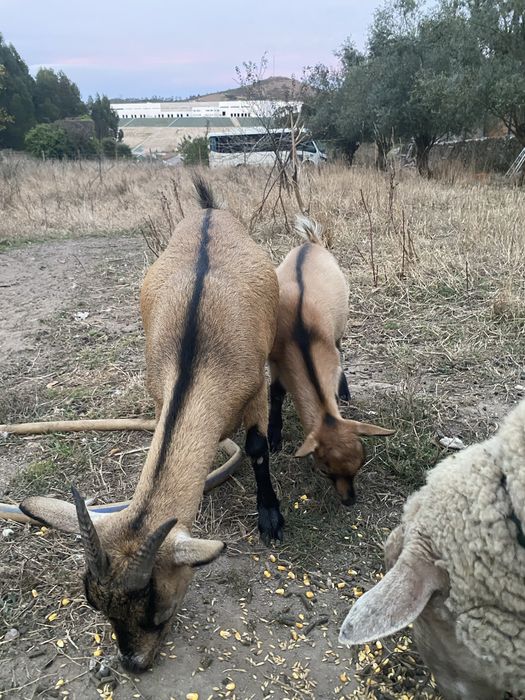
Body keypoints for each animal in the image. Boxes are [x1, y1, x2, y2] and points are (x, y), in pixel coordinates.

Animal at [21, 177, 283, 672]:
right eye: (93, 601)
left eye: (157, 608)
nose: (132, 662)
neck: (197, 358)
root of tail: (208, 208)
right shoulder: (159, 393)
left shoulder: (254, 385)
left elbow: (257, 448)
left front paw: (271, 518)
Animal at [268, 216, 394, 505]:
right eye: (325, 470)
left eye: (362, 462)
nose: (349, 501)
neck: (301, 339)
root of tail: (310, 243)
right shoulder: (275, 362)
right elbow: (276, 395)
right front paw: (273, 438)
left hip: (341, 323)